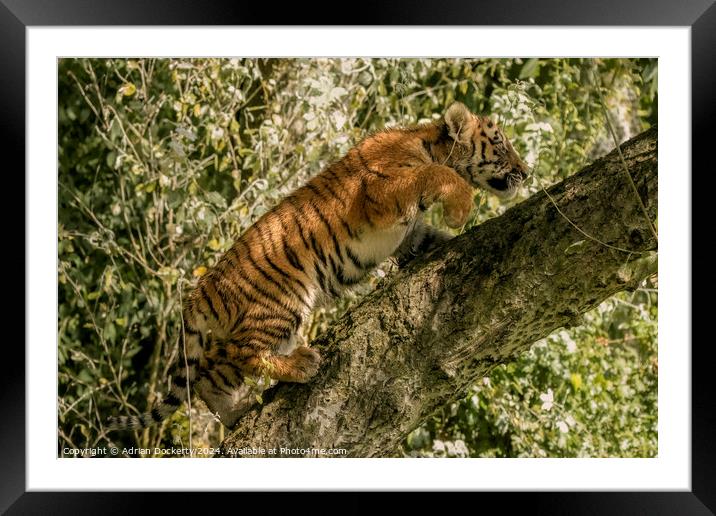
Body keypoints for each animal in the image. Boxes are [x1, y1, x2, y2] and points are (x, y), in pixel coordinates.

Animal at [107, 101, 532, 432]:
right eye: (500, 144)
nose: (526, 172)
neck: (429, 142)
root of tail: (201, 289)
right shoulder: (383, 192)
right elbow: (437, 174)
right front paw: (460, 212)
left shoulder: (409, 234)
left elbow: (429, 237)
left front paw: (454, 235)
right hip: (285, 299)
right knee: (243, 351)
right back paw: (303, 364)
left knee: (211, 370)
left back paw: (237, 411)